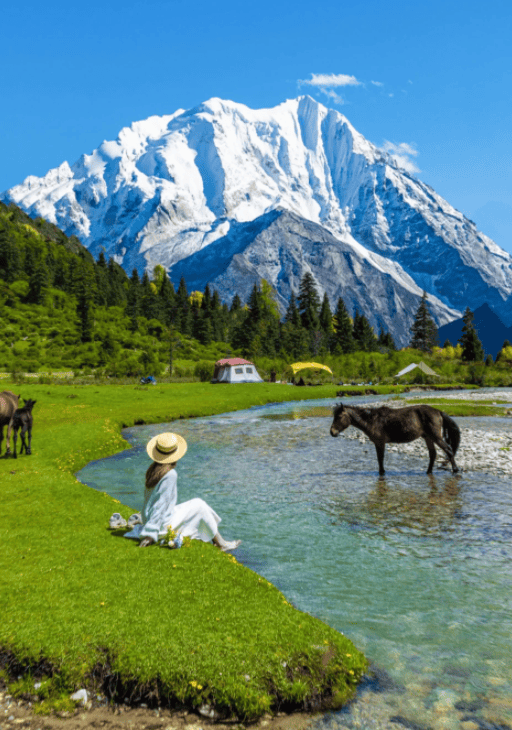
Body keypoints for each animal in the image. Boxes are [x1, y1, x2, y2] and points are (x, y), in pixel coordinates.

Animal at [332, 400, 460, 474]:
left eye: (339, 417)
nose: (332, 432)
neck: (372, 421)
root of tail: (438, 411)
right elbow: (380, 459)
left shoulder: (380, 443)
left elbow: (380, 458)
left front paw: (382, 472)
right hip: (428, 437)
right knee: (433, 454)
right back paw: (428, 472)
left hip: (435, 436)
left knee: (448, 450)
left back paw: (455, 470)